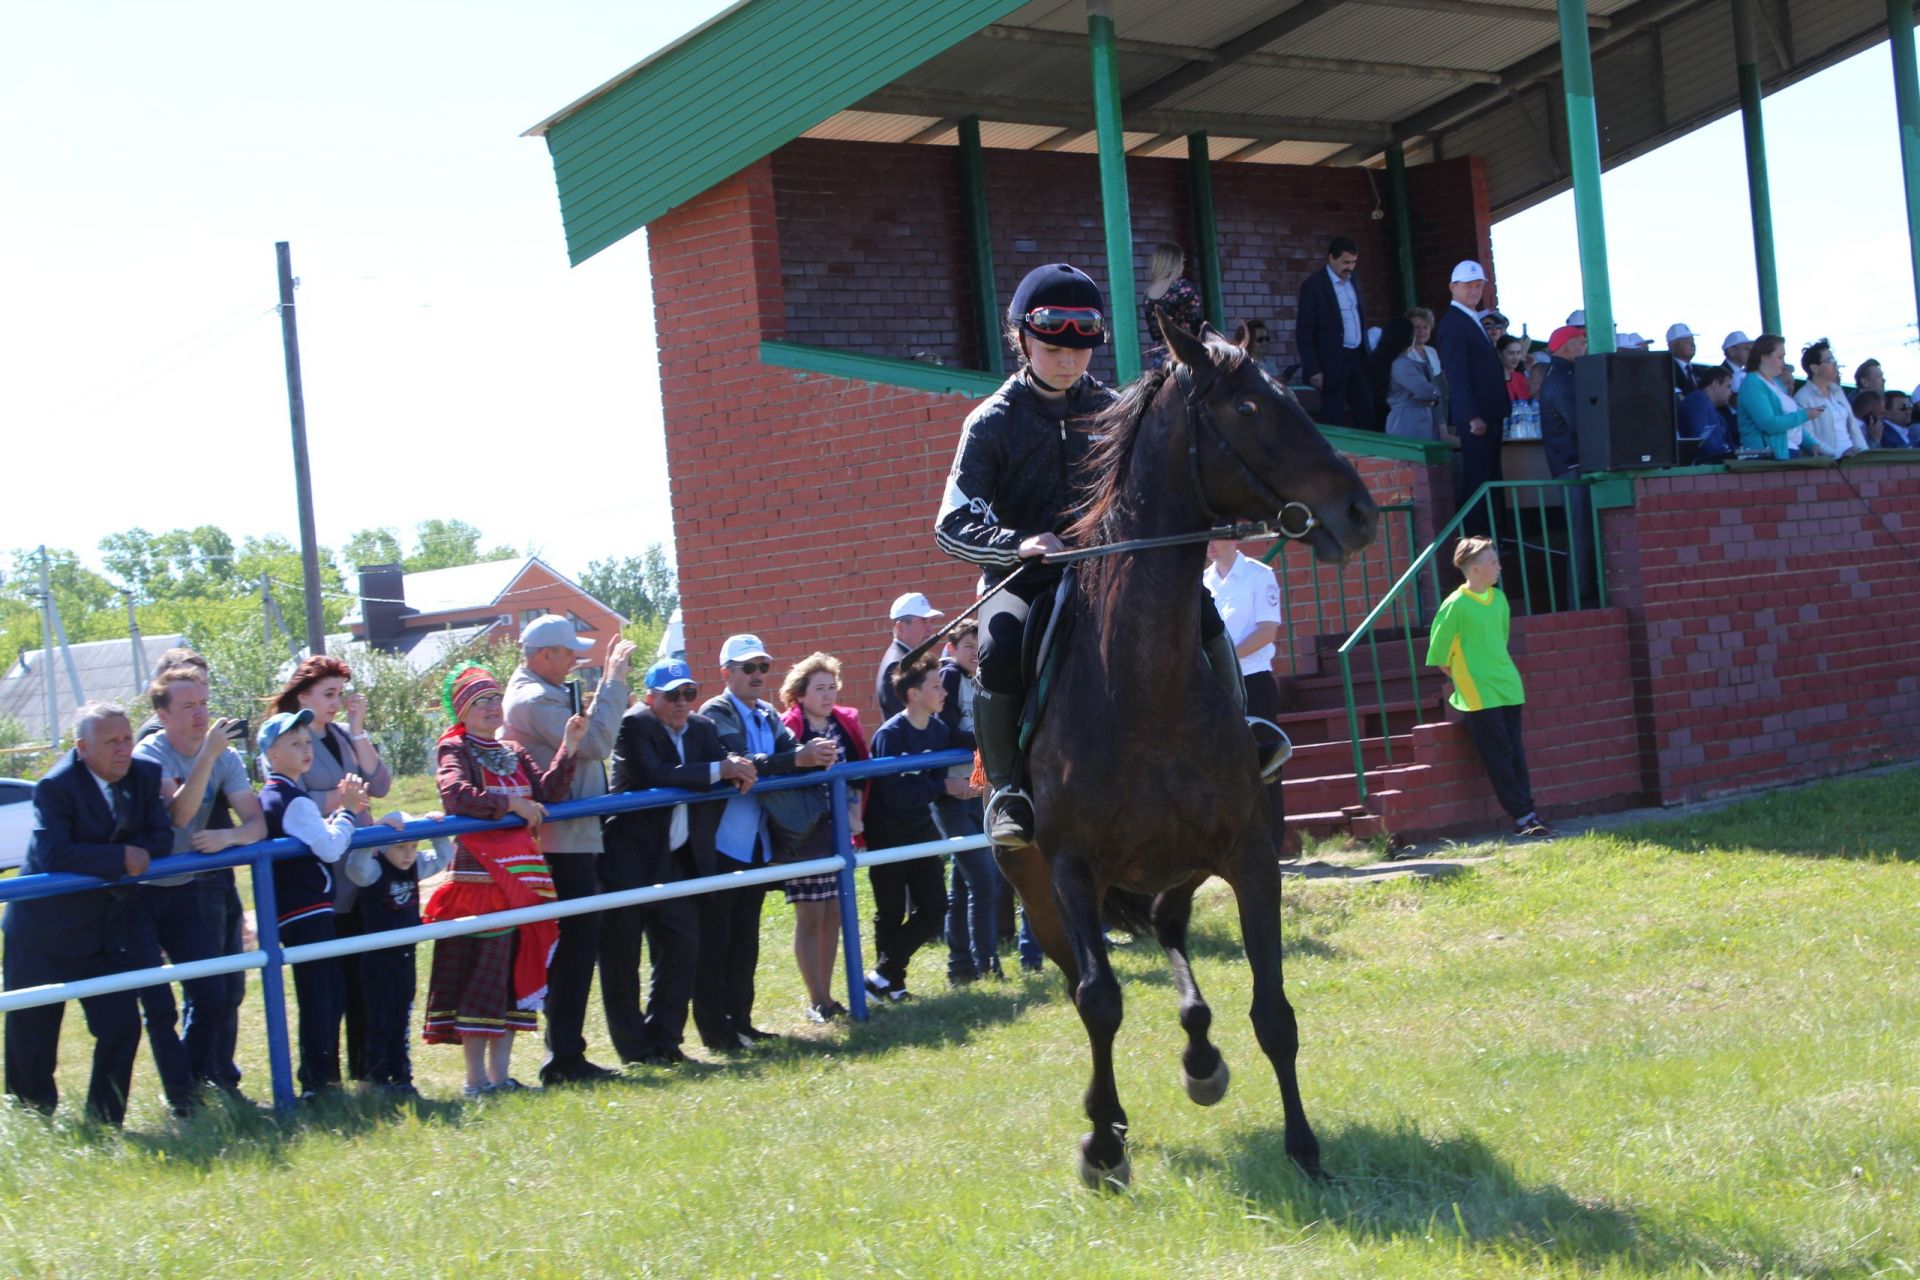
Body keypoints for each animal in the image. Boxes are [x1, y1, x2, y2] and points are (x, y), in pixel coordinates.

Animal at [990, 320, 1382, 1189]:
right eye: (1249, 406)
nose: (1360, 511)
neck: (1144, 692)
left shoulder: (1249, 854)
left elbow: (1274, 1012)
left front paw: (1305, 1150)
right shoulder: (1071, 868)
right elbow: (1100, 1002)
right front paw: (1102, 1146)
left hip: (1180, 866)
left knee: (1172, 935)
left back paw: (1201, 1060)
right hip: (1039, 890)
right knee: (1080, 983)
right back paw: (1110, 1116)